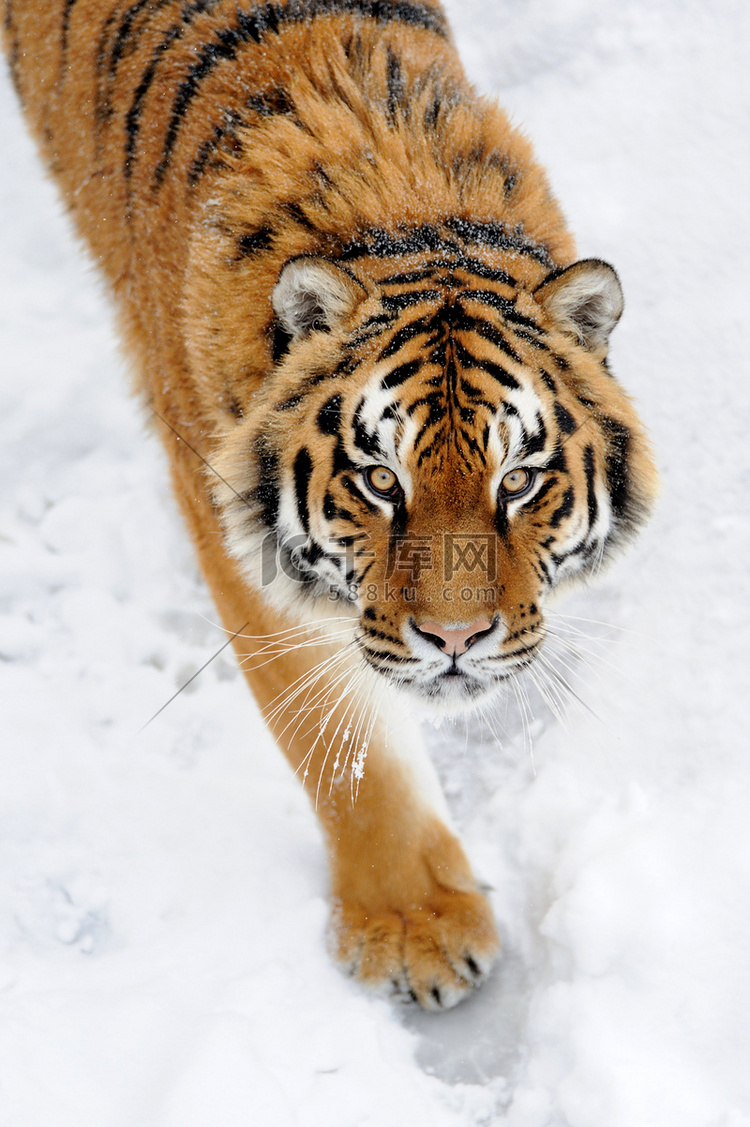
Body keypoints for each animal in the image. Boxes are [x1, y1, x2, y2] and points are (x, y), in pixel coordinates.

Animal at [1, 0, 654, 1009]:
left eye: (517, 480)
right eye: (381, 479)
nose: (457, 638)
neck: (407, 216)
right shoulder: (239, 544)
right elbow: (343, 749)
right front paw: (416, 929)